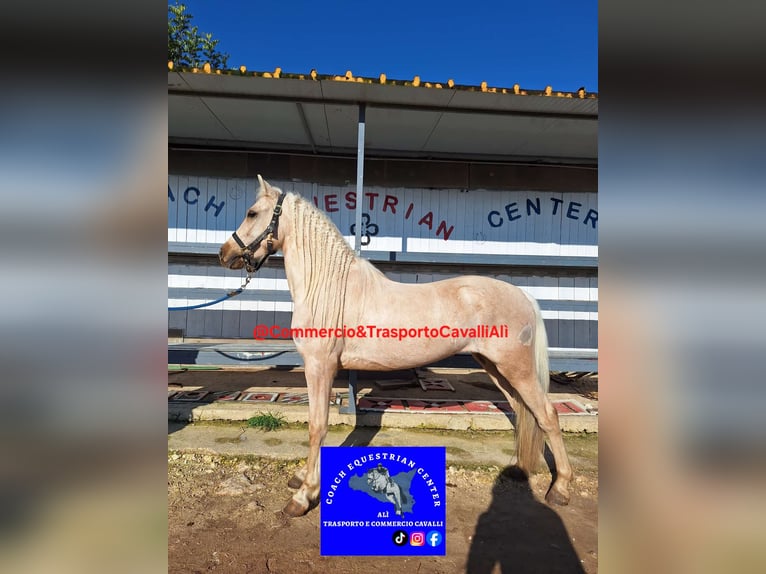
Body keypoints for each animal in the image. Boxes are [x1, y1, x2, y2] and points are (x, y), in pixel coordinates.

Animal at [219, 176, 572, 516]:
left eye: (252, 213)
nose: (224, 254)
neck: (330, 288)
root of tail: (523, 295)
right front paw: (304, 480)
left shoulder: (320, 367)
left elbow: (317, 426)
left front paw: (303, 496)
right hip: (497, 369)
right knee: (525, 413)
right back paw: (521, 470)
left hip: (517, 369)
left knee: (547, 415)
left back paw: (561, 489)